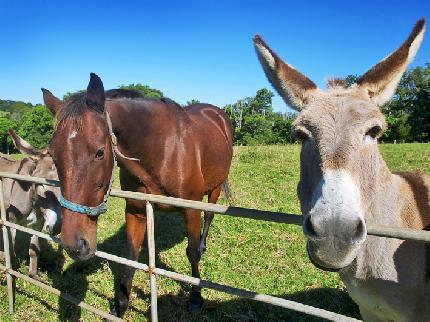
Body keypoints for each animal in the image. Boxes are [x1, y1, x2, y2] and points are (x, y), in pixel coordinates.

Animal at [42, 73, 233, 316]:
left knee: (209, 217)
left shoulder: (191, 210)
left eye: (99, 152)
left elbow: (191, 253)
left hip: (215, 189)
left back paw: (203, 245)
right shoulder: (136, 211)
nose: (74, 245)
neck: (163, 151)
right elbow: (131, 257)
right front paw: (120, 306)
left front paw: (196, 298)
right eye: (52, 155)